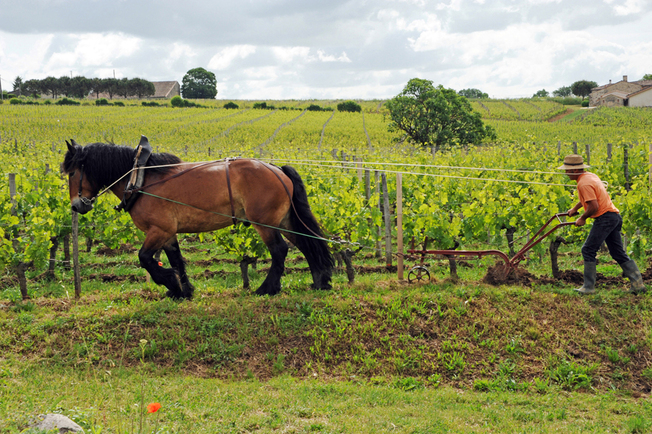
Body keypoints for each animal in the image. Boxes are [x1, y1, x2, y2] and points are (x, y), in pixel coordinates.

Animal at [60, 139, 332, 298]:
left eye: (72, 172)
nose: (76, 205)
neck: (140, 178)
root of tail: (277, 169)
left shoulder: (158, 230)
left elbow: (145, 258)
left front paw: (169, 282)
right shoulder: (168, 233)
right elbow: (177, 260)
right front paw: (183, 291)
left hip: (264, 223)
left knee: (279, 250)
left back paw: (267, 288)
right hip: (284, 220)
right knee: (307, 244)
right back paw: (321, 281)